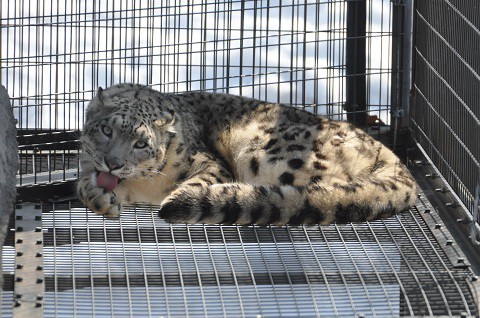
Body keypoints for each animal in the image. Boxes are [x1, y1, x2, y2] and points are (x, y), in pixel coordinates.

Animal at [78, 83, 416, 225]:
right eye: (106, 130)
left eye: (140, 144)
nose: (113, 163)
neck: (143, 188)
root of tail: (390, 155)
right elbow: (83, 183)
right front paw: (101, 199)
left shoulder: (208, 163)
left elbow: (201, 177)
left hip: (271, 153)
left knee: (323, 190)